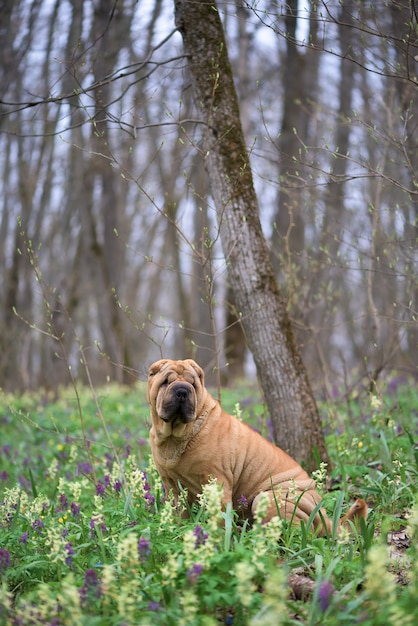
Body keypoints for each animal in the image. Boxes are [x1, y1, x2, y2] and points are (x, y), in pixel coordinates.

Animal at [147, 356, 366, 532]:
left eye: (193, 384)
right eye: (165, 382)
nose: (182, 390)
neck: (175, 436)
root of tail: (325, 516)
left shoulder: (217, 482)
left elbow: (220, 516)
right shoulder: (173, 487)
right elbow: (179, 512)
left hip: (269, 499)